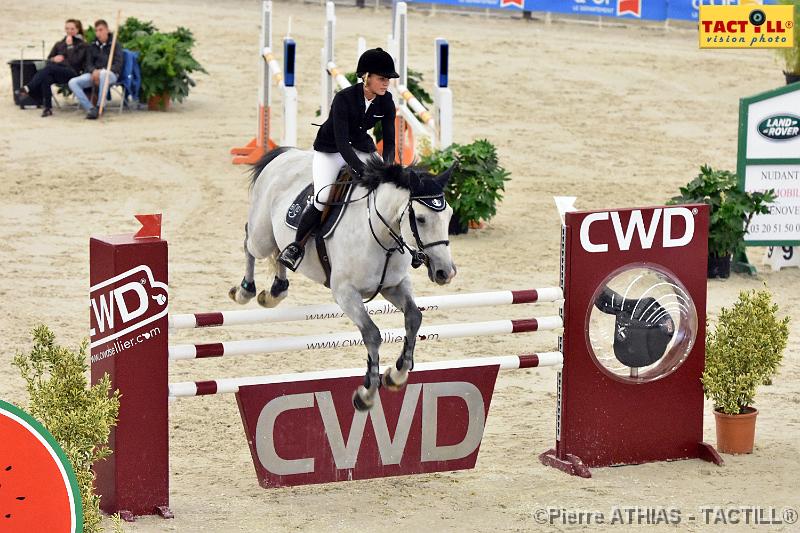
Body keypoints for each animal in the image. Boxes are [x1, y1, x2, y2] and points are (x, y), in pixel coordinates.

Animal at [230, 148, 456, 410]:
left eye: (450, 215)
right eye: (420, 218)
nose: (446, 272)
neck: (382, 238)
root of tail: (286, 153)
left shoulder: (394, 286)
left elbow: (414, 317)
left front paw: (396, 375)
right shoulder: (346, 294)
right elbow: (372, 334)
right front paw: (367, 393)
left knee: (277, 254)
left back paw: (275, 291)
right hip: (262, 236)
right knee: (249, 241)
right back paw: (245, 291)